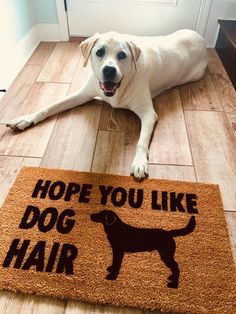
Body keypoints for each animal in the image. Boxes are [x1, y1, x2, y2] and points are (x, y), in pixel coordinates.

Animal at [6, 31, 206, 180]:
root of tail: (201, 38)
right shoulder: (81, 94)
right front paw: (26, 119)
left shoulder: (148, 114)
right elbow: (51, 106)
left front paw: (140, 162)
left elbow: (141, 142)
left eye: (122, 55)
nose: (109, 70)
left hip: (195, 75)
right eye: (99, 52)